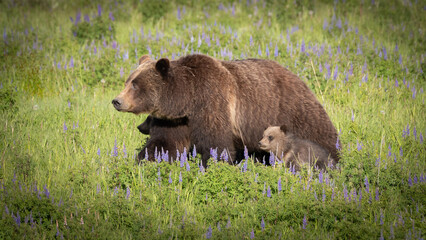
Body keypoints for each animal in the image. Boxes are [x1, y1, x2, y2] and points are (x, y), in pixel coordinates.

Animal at [112, 54, 340, 167]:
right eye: (127, 81)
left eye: (135, 85)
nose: (117, 101)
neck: (187, 99)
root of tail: (300, 79)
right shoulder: (175, 121)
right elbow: (163, 145)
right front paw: (145, 161)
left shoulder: (212, 103)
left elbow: (217, 145)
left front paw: (209, 166)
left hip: (292, 111)